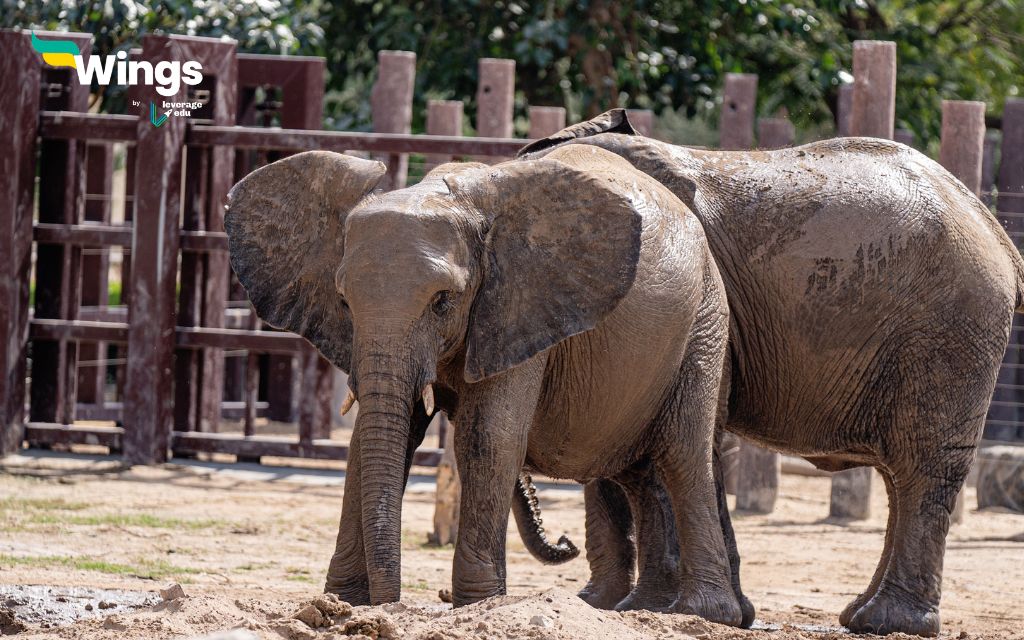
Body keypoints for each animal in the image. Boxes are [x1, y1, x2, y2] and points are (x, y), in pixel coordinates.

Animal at [226, 141, 745, 622]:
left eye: (443, 301)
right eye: (343, 302)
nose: (389, 606)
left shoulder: (518, 303)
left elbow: (487, 437)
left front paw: (478, 605)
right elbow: (374, 438)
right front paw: (342, 602)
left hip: (705, 321)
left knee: (682, 454)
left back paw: (702, 614)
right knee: (638, 471)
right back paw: (642, 610)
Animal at [516, 109, 1024, 634]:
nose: (563, 543)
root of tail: (997, 232)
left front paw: (640, 608)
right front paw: (613, 605)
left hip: (951, 332)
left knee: (925, 464)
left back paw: (890, 621)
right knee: (899, 476)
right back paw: (860, 615)